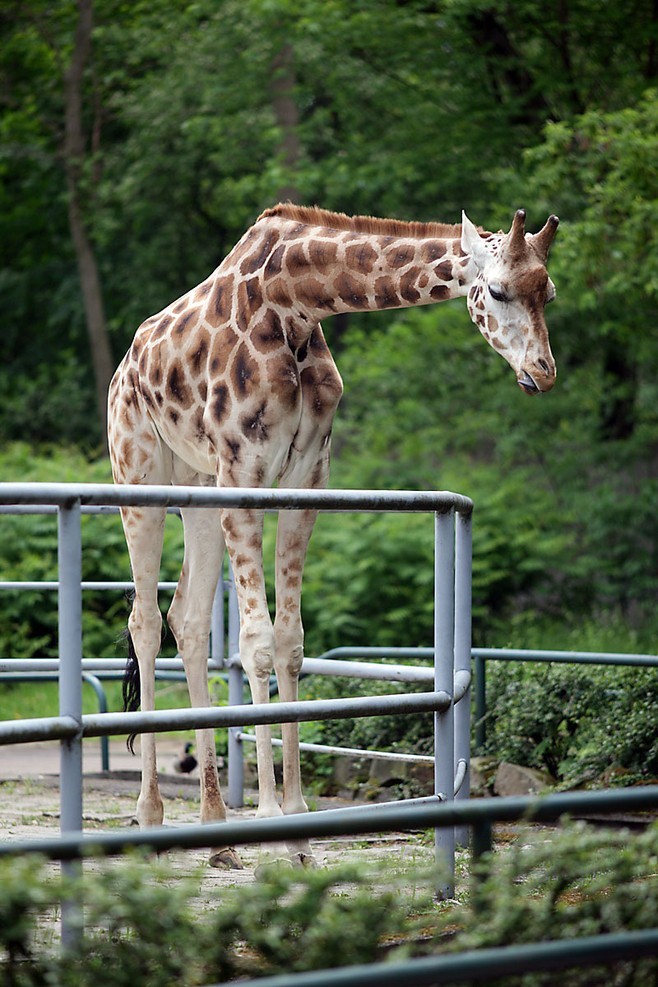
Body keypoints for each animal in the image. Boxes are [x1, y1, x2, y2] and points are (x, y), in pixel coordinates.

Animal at [107, 205, 560, 868]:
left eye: (547, 292)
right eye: (498, 291)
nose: (542, 374)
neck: (294, 305)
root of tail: (124, 367)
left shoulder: (305, 478)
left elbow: (291, 642)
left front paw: (297, 826)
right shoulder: (244, 473)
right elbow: (257, 642)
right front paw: (271, 821)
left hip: (198, 487)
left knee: (185, 618)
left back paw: (215, 827)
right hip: (140, 474)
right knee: (143, 619)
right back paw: (149, 816)